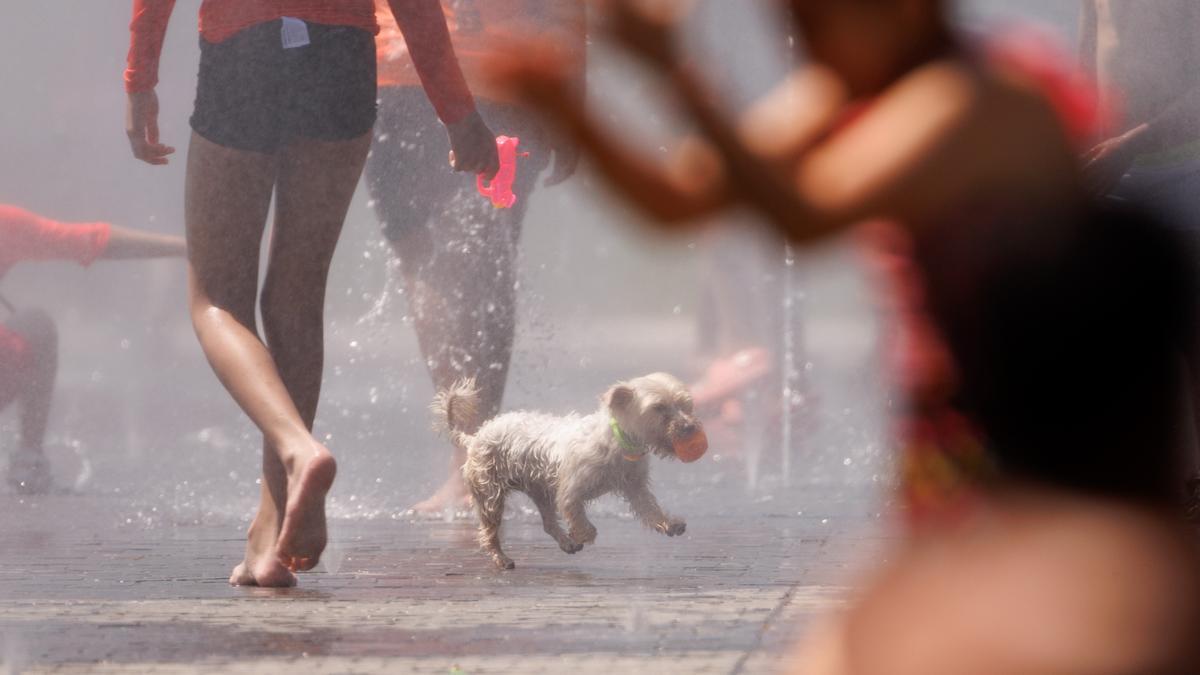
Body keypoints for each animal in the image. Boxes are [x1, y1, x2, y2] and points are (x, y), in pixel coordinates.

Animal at [434, 372, 705, 566]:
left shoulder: (634, 487)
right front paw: (583, 534)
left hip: (540, 490)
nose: (689, 427)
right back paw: (502, 559)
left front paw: (670, 524)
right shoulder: (571, 492)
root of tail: (475, 437)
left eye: (684, 405)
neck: (618, 442)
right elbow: (580, 519)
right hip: (490, 494)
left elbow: (650, 510)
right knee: (490, 531)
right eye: (659, 408)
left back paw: (565, 543)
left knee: (548, 523)